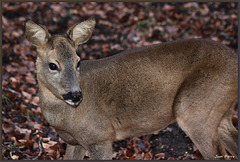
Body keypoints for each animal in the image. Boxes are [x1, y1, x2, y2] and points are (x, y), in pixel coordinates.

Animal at [23, 17, 237, 159]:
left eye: (78, 62)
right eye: (53, 65)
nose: (76, 95)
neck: (66, 120)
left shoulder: (100, 137)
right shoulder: (73, 143)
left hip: (196, 110)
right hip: (219, 112)